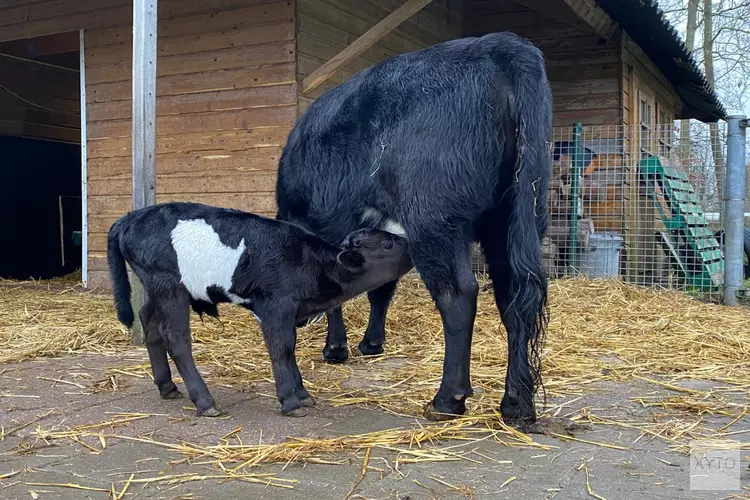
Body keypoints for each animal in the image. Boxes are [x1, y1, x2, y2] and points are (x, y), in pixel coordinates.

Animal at [106, 203, 414, 418]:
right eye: (388, 243)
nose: (412, 243)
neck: (312, 262)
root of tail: (129, 218)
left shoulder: (289, 311)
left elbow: (290, 348)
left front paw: (302, 393)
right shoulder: (275, 306)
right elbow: (281, 348)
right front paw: (290, 400)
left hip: (157, 288)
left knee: (149, 322)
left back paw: (167, 387)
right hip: (169, 287)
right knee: (177, 339)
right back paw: (205, 401)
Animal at [280, 32, 556, 430]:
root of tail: (499, 43)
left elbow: (340, 292)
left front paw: (336, 348)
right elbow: (380, 290)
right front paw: (371, 343)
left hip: (436, 221)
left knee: (459, 295)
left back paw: (448, 398)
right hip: (514, 217)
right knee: (514, 299)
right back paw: (517, 403)